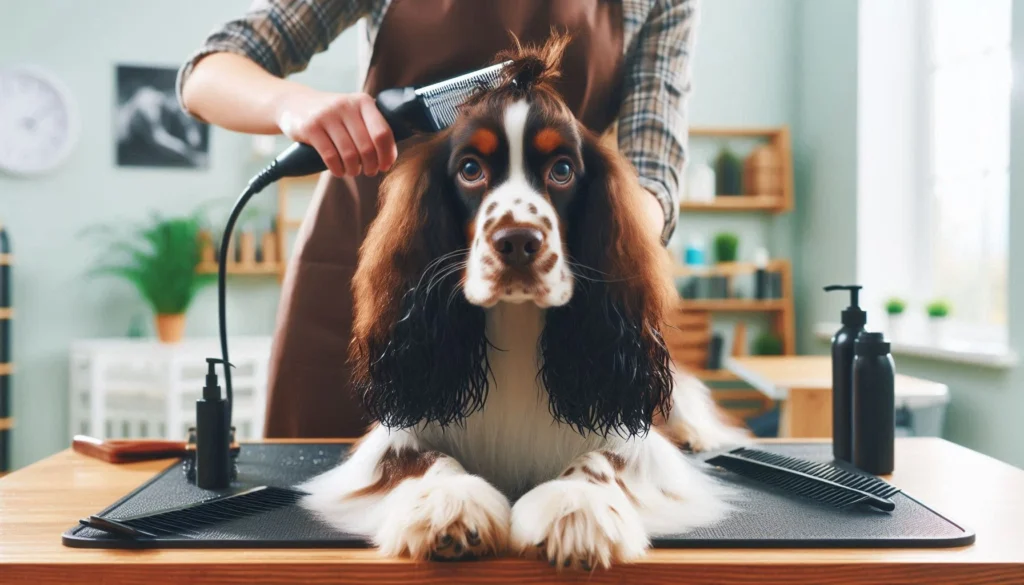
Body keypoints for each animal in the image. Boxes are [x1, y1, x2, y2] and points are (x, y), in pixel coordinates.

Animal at [299, 35, 749, 569]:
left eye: (563, 170)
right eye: (470, 169)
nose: (517, 241)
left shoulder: (635, 444)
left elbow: (601, 461)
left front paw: (576, 506)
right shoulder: (394, 437)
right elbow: (426, 461)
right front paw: (450, 503)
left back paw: (693, 433)